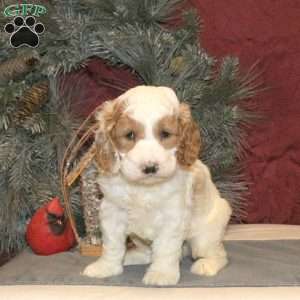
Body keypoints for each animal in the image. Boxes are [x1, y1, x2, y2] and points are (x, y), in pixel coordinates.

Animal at [82, 85, 232, 286]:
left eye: (165, 134)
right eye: (130, 135)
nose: (150, 167)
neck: (144, 188)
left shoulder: (173, 217)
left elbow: (166, 248)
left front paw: (161, 274)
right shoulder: (113, 212)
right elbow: (112, 244)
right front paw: (106, 267)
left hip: (205, 236)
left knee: (218, 254)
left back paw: (206, 264)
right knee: (148, 252)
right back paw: (131, 257)